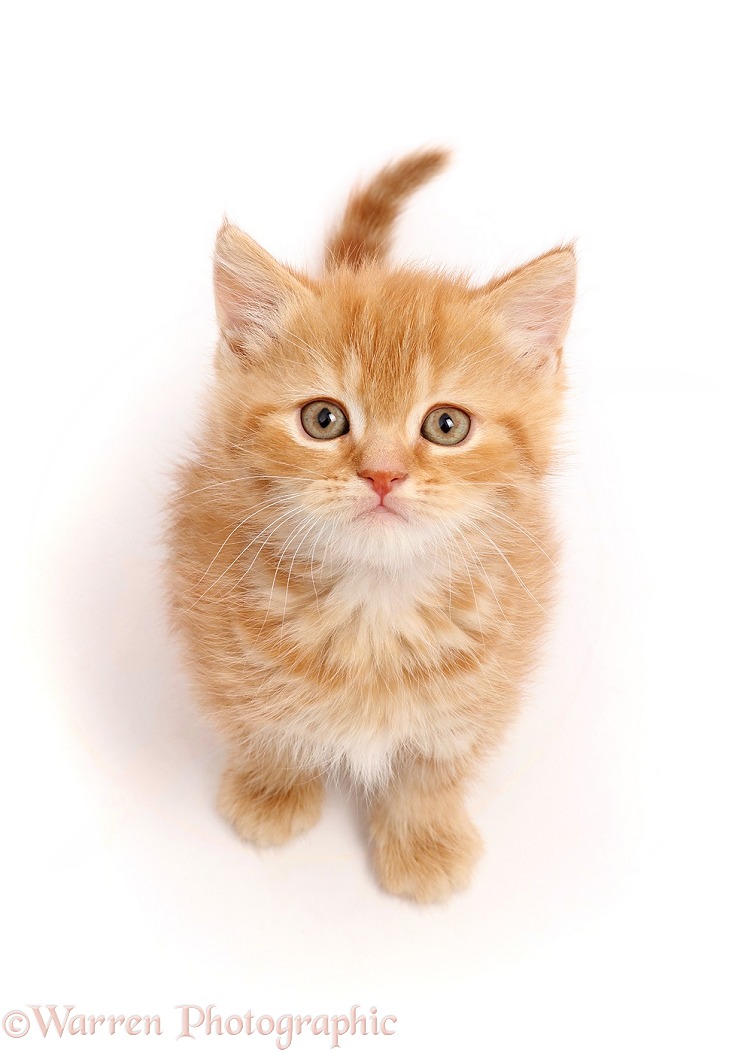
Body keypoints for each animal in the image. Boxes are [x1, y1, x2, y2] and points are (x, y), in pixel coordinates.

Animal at [167, 150, 577, 905]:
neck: (374, 607)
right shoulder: (217, 627)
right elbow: (264, 725)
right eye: (323, 419)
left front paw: (424, 840)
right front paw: (272, 793)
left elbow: (432, 766)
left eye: (446, 425)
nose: (383, 475)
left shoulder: (487, 671)